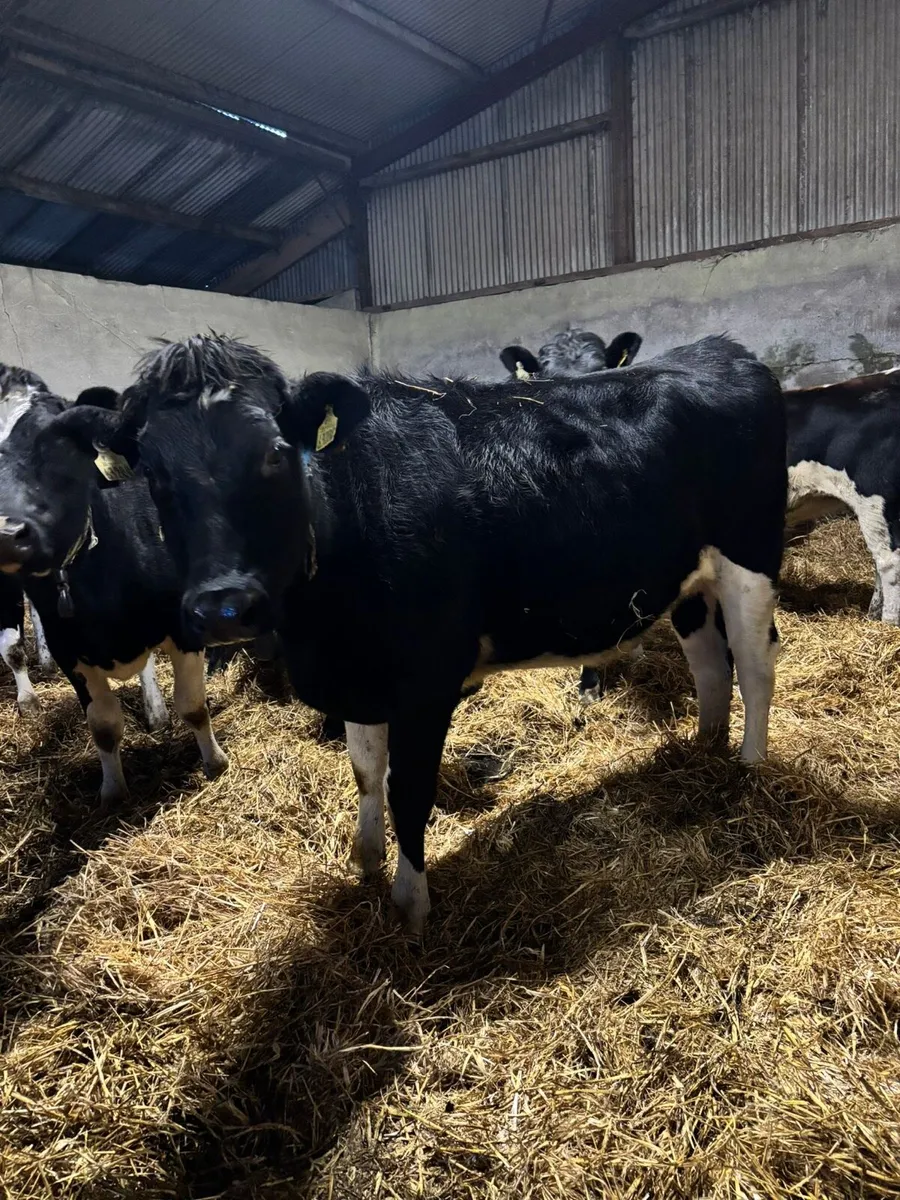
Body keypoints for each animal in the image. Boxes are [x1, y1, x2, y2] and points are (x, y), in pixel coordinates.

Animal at [0, 365, 223, 803]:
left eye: (58, 450)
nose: (5, 532)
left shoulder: (183, 628)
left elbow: (192, 704)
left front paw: (215, 764)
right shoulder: (70, 650)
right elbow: (103, 725)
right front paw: (113, 792)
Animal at [75, 333, 785, 935]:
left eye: (275, 455)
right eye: (153, 476)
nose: (224, 607)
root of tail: (718, 351)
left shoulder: (425, 684)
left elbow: (407, 790)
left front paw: (410, 903)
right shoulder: (362, 674)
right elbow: (365, 771)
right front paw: (364, 859)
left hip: (751, 557)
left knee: (754, 668)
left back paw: (748, 769)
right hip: (688, 581)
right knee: (710, 664)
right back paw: (704, 747)